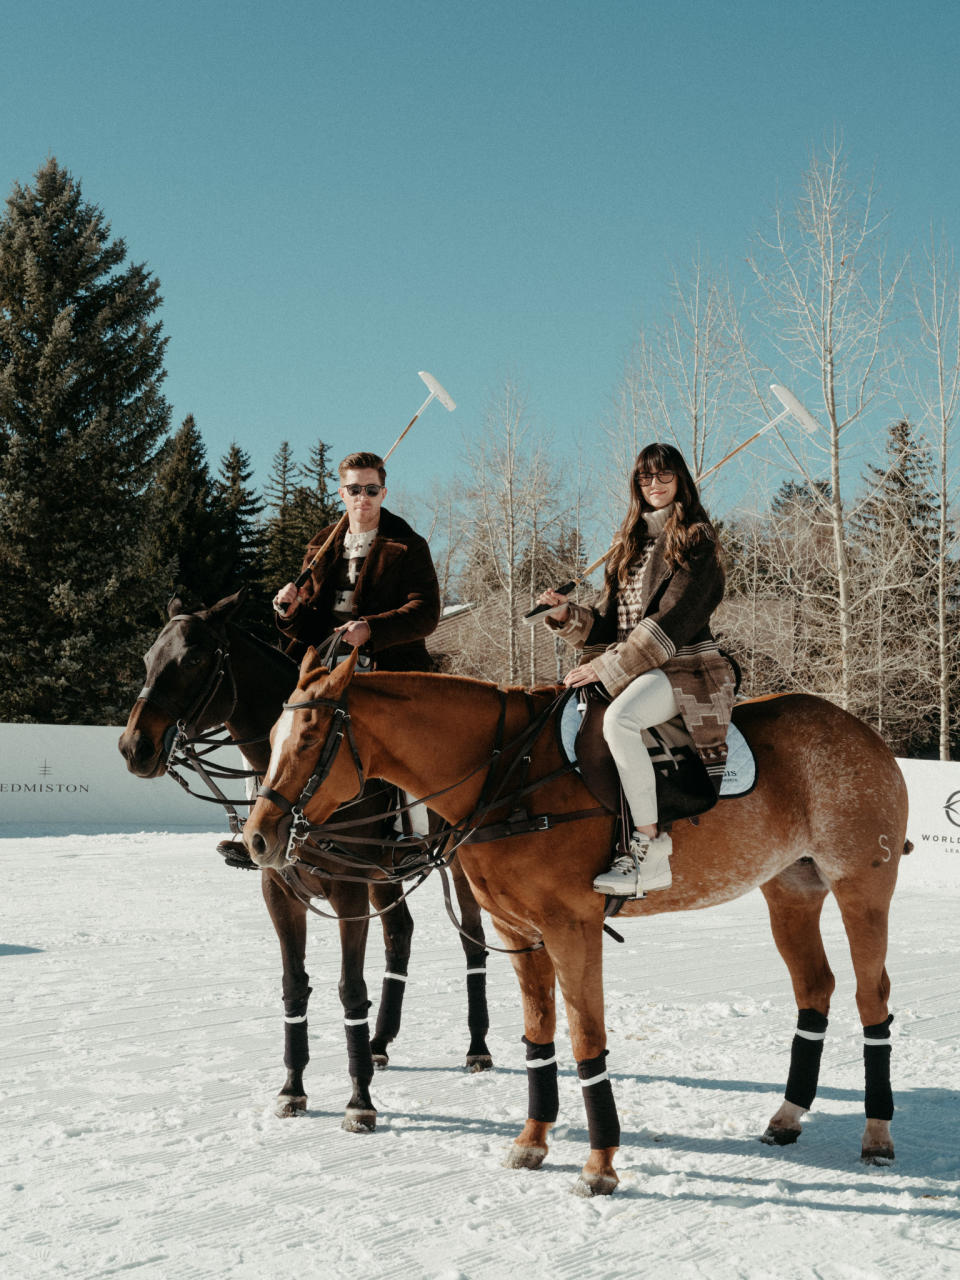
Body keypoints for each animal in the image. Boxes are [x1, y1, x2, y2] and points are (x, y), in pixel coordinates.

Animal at [118, 588, 496, 1131]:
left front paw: (360, 1101)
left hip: (459, 862)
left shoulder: (347, 888)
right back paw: (380, 1043)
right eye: (148, 658)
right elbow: (294, 986)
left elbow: (350, 988)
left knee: (473, 943)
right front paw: (293, 1090)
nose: (134, 747)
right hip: (386, 875)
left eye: (192, 659)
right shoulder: (279, 891)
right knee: (400, 935)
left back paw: (477, 1047)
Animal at [241, 655, 911, 1192]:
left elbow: (588, 1039)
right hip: (791, 889)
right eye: (270, 736)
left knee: (871, 995)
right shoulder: (518, 931)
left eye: (309, 736)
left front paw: (600, 1165)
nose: (256, 839)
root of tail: (865, 732)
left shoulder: (573, 927)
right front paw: (532, 1141)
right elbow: (540, 1037)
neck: (504, 775)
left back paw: (878, 1135)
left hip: (861, 885)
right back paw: (787, 1117)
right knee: (815, 989)